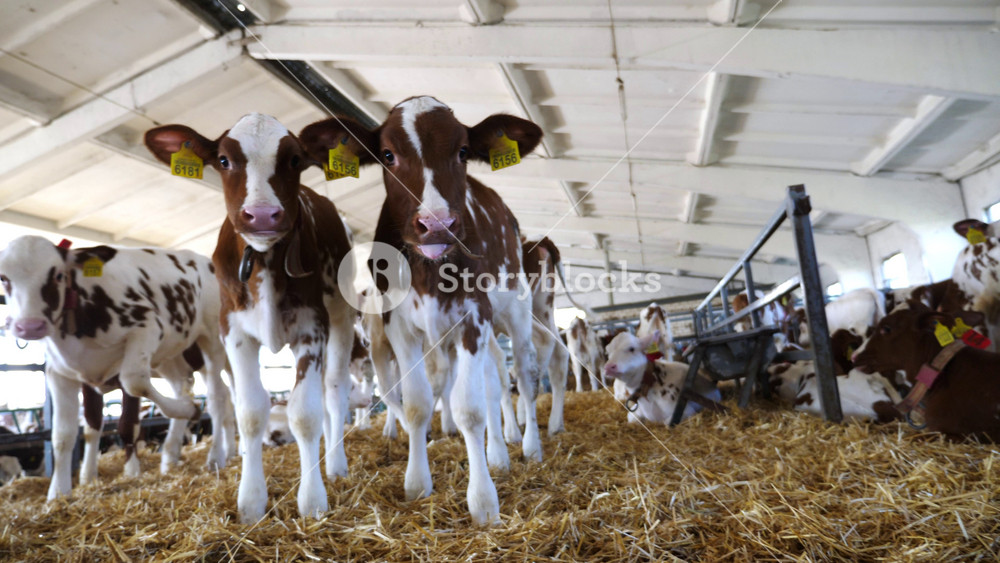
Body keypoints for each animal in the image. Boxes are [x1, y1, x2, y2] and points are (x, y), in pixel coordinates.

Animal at [0, 236, 235, 501]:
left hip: (212, 341)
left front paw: (132, 472)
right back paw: (170, 454)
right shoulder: (61, 374)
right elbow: (67, 434)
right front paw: (61, 491)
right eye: (3, 278)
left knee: (219, 397)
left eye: (59, 275)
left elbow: (132, 399)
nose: (29, 326)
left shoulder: (147, 328)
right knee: (183, 387)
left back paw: (216, 455)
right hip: (171, 356)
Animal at [145, 113, 357, 523]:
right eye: (224, 160)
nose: (261, 215)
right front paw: (251, 501)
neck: (263, 259)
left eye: (294, 159)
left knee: (334, 391)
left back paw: (335, 465)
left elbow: (305, 412)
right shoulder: (234, 332)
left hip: (341, 317)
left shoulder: (313, 326)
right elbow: (249, 412)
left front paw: (312, 500)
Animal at [299, 96, 544, 524]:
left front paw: (483, 500)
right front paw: (417, 484)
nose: (437, 225)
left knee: (525, 378)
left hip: (515, 308)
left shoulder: (474, 317)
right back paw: (499, 454)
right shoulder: (399, 327)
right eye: (387, 154)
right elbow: (417, 404)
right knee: (491, 379)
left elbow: (470, 409)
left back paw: (528, 446)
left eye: (462, 151)